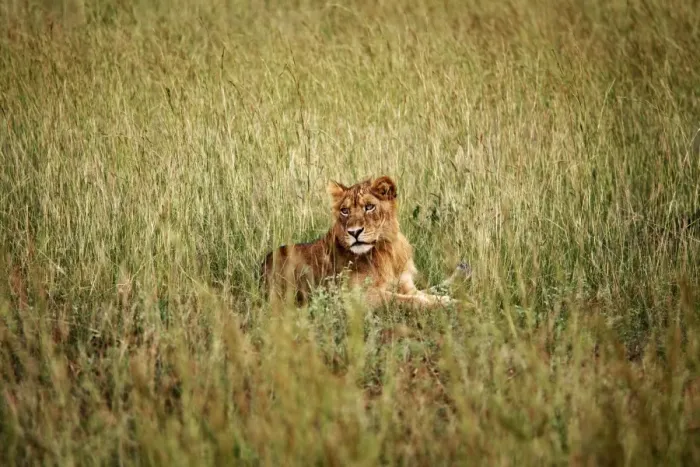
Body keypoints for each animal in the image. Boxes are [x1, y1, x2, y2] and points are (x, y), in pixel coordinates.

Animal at [261, 176, 470, 309]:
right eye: (345, 211)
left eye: (369, 207)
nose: (354, 232)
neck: (386, 249)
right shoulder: (356, 297)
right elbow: (407, 300)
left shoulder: (406, 284)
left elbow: (427, 295)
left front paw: (454, 302)